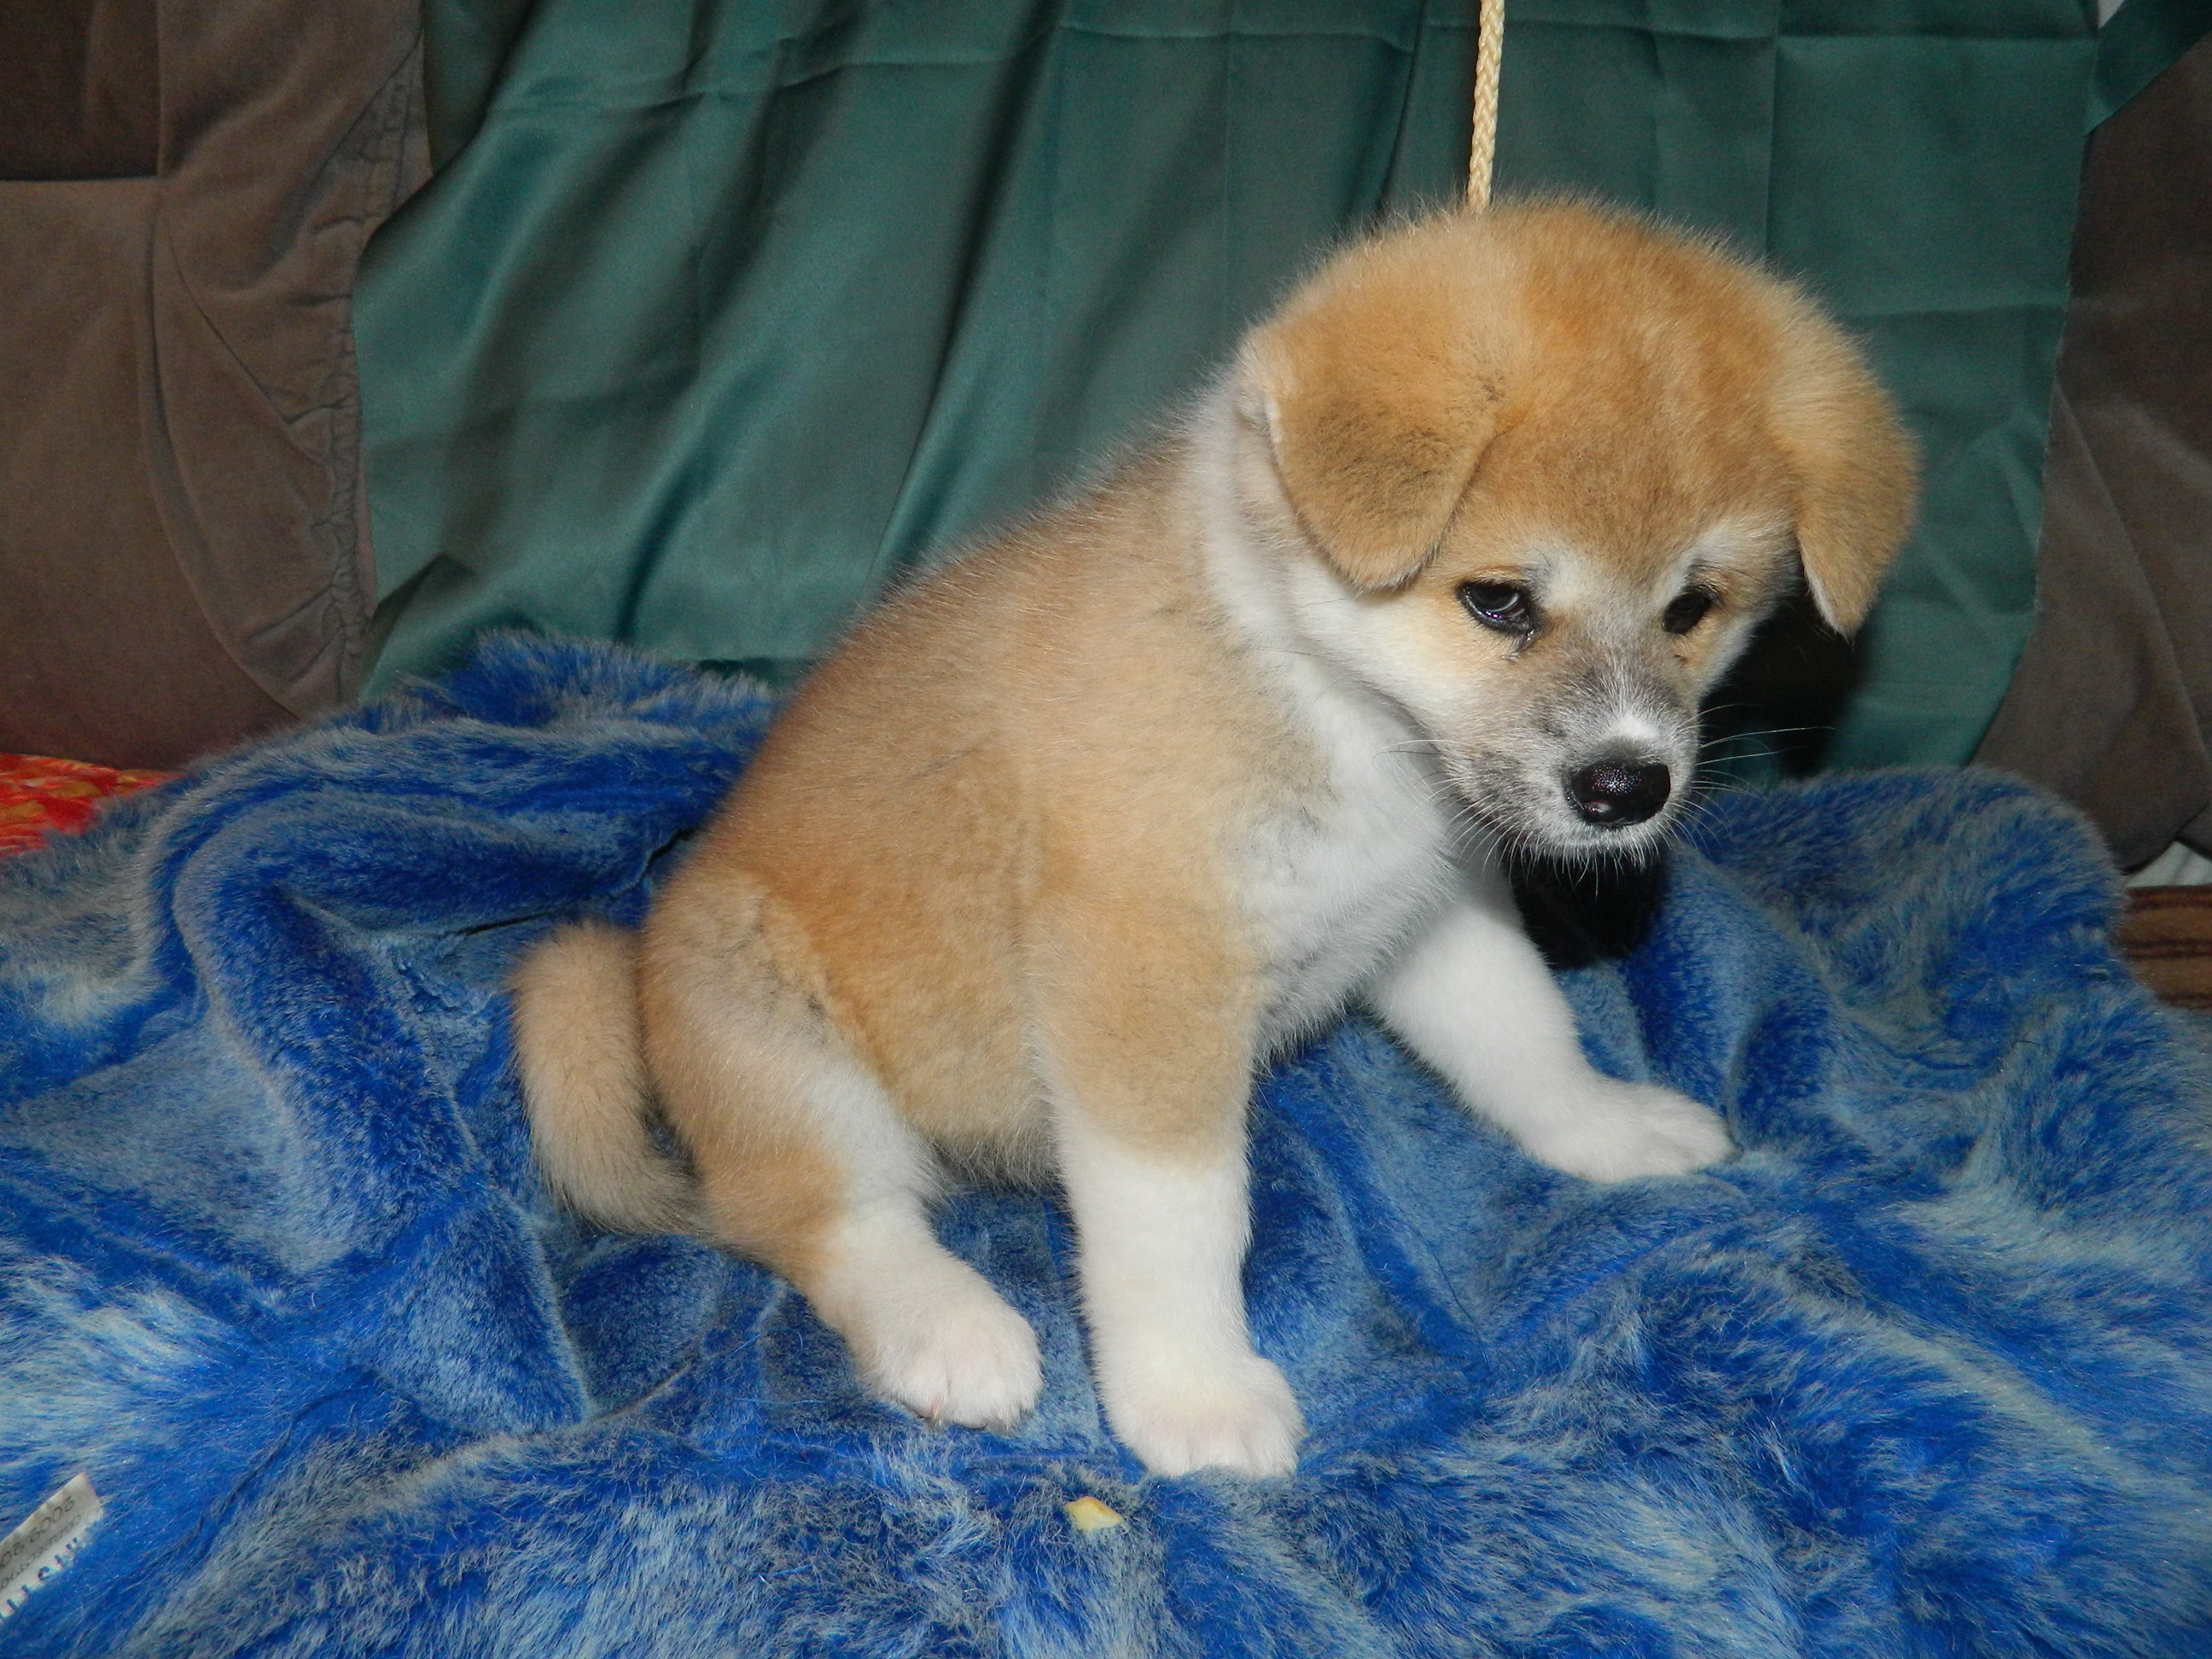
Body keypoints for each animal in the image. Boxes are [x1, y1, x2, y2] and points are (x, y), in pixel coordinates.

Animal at [511, 200, 1916, 1479]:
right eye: (1500, 601)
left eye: (1694, 607)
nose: (1627, 787)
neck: (1320, 695)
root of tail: (635, 978)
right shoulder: (1148, 993)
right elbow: (1180, 1225)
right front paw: (1191, 1395)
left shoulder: (1432, 917)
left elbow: (1526, 1041)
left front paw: (1606, 1131)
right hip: (777, 1040)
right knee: (823, 1221)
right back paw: (950, 1327)